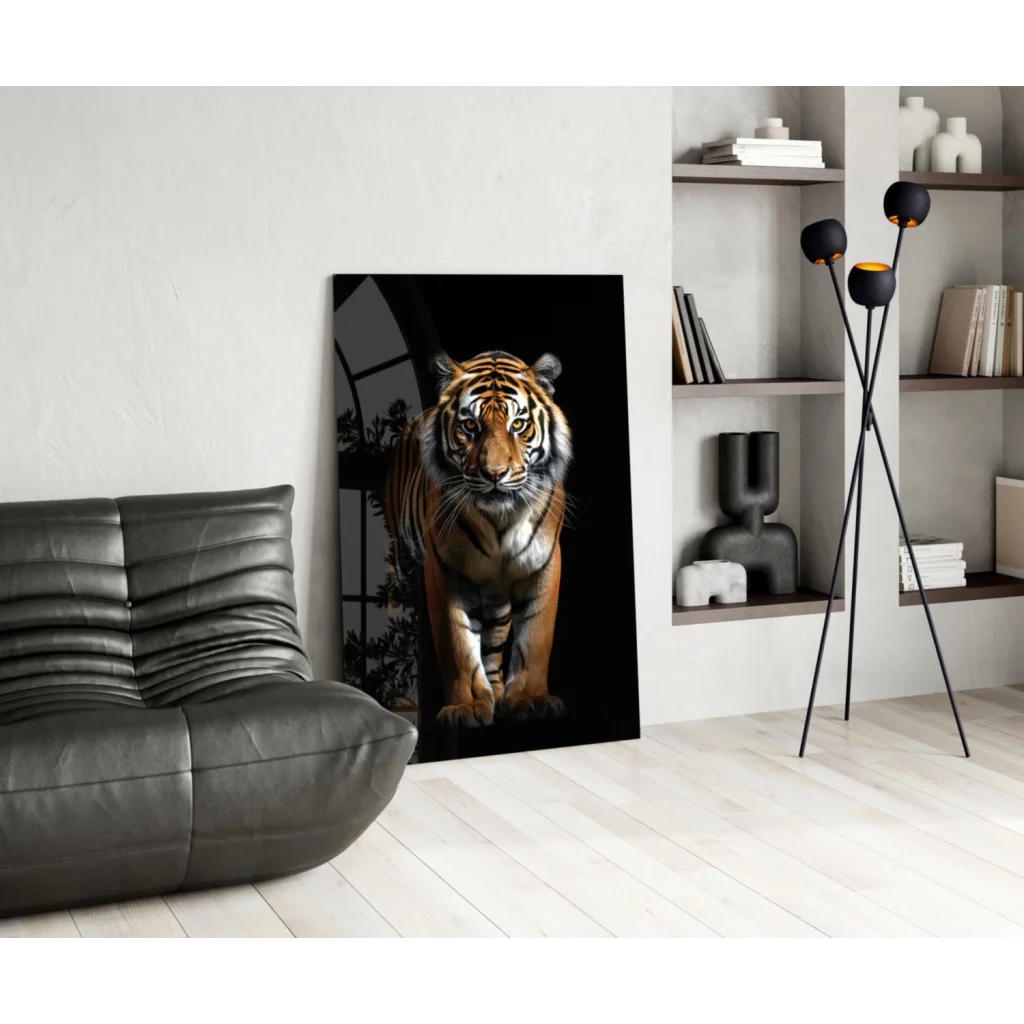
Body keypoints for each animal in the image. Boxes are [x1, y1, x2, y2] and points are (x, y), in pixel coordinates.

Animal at [384, 349, 572, 728]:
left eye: (518, 425)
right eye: (470, 426)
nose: (494, 473)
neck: (501, 520)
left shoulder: (544, 562)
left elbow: (535, 636)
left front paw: (531, 700)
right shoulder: (443, 568)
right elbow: (456, 642)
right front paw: (466, 707)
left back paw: (498, 693)